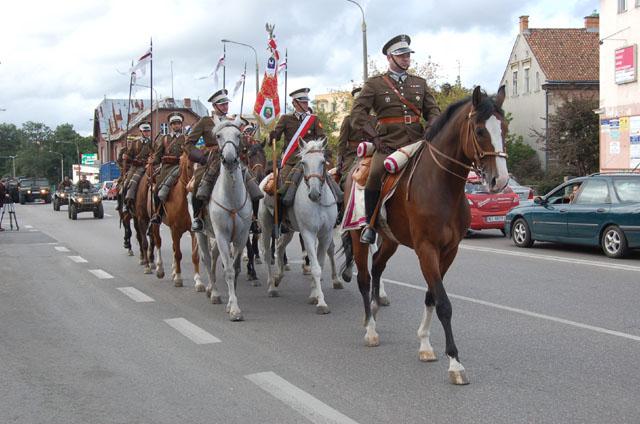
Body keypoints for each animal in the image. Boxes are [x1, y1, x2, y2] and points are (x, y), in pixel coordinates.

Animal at [190, 116, 252, 322]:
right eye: (218, 136)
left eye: (239, 135)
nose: (230, 159)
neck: (231, 198)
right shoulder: (223, 236)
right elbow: (229, 270)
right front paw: (234, 309)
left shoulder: (241, 237)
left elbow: (235, 267)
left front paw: (232, 303)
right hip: (202, 234)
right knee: (207, 258)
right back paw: (214, 292)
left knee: (214, 257)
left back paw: (212, 289)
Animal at [258, 139, 342, 314]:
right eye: (303, 163)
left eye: (323, 161)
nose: (314, 194)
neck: (318, 204)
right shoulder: (308, 233)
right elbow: (315, 267)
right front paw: (321, 303)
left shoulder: (325, 234)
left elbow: (320, 263)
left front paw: (314, 294)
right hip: (267, 226)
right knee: (267, 253)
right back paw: (272, 287)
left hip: (289, 230)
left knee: (279, 247)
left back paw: (279, 276)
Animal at [342, 85, 508, 384]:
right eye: (480, 130)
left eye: (505, 128)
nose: (499, 181)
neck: (442, 187)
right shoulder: (426, 249)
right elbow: (443, 303)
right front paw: (454, 362)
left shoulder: (449, 251)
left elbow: (432, 295)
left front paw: (425, 344)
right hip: (358, 237)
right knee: (363, 277)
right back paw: (370, 329)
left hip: (391, 240)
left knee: (378, 267)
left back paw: (375, 308)